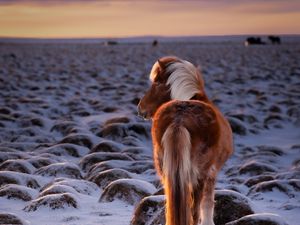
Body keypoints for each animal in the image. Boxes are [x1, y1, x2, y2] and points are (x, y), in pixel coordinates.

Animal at [137, 56, 233, 225]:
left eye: (156, 83)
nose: (140, 107)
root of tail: (179, 119)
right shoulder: (211, 174)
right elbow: (207, 205)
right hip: (198, 176)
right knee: (194, 211)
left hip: (167, 172)